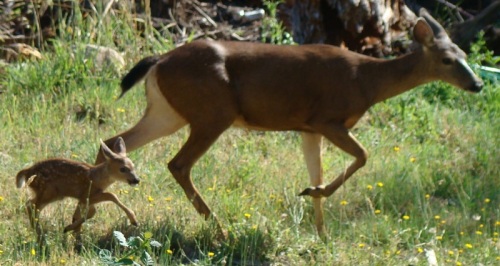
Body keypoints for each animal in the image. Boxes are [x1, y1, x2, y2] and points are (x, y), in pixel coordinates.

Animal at [95, 10, 482, 239]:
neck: (366, 82)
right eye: (447, 60)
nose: (478, 84)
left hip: (168, 111)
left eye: (465, 55)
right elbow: (363, 156)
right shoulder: (326, 118)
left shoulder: (308, 129)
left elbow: (318, 171)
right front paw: (314, 200)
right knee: (178, 164)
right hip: (213, 112)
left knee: (114, 139)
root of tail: (159, 60)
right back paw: (219, 227)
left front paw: (321, 230)